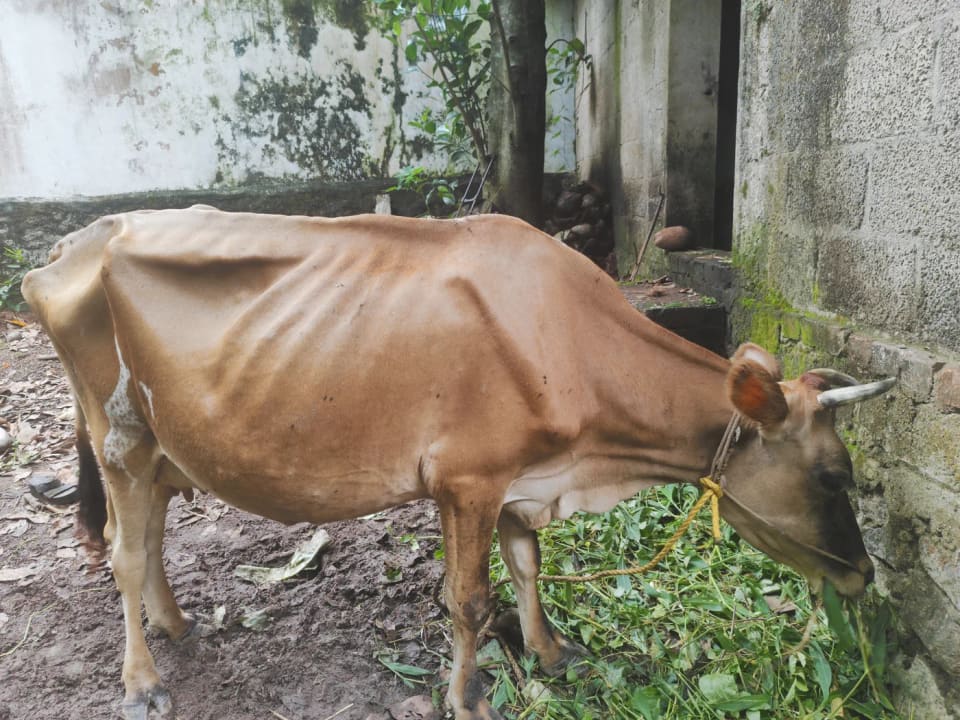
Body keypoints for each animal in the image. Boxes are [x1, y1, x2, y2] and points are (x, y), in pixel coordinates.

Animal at [22, 207, 895, 720]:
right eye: (834, 476)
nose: (862, 576)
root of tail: (76, 241)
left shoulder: (520, 477)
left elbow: (529, 563)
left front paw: (551, 652)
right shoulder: (469, 479)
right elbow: (469, 600)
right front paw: (469, 695)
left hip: (165, 446)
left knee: (153, 537)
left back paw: (175, 624)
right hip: (119, 434)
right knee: (125, 554)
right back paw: (142, 681)